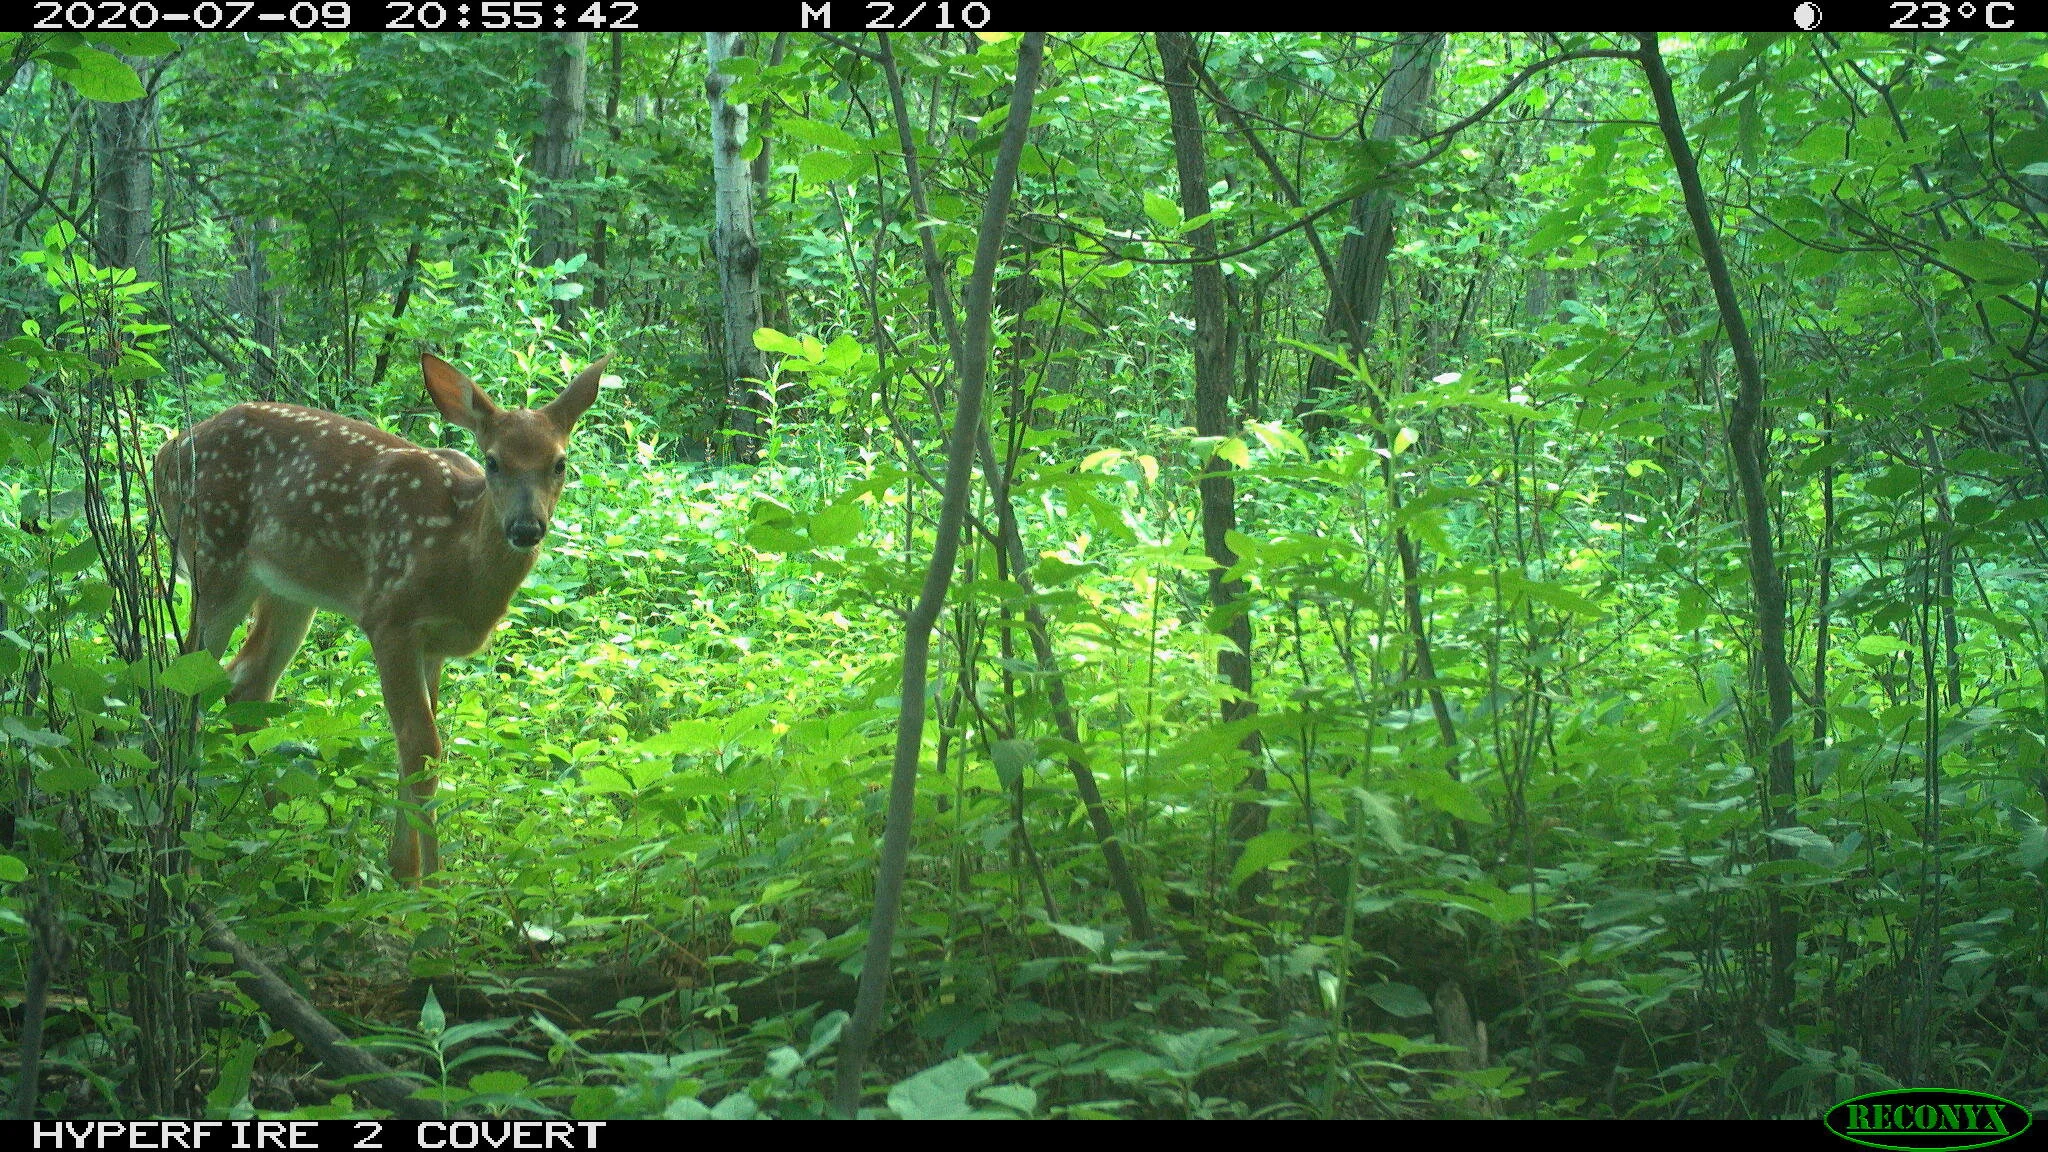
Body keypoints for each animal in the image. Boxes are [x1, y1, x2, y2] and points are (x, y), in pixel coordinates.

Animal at [153, 352, 610, 882]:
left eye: (559, 463)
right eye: (494, 461)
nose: (525, 527)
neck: (458, 559)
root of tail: (166, 450)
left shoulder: (434, 646)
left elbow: (416, 746)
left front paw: (402, 868)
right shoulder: (389, 618)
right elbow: (421, 744)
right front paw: (429, 881)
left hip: (290, 587)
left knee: (247, 681)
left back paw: (283, 826)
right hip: (213, 554)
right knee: (186, 679)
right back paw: (184, 840)